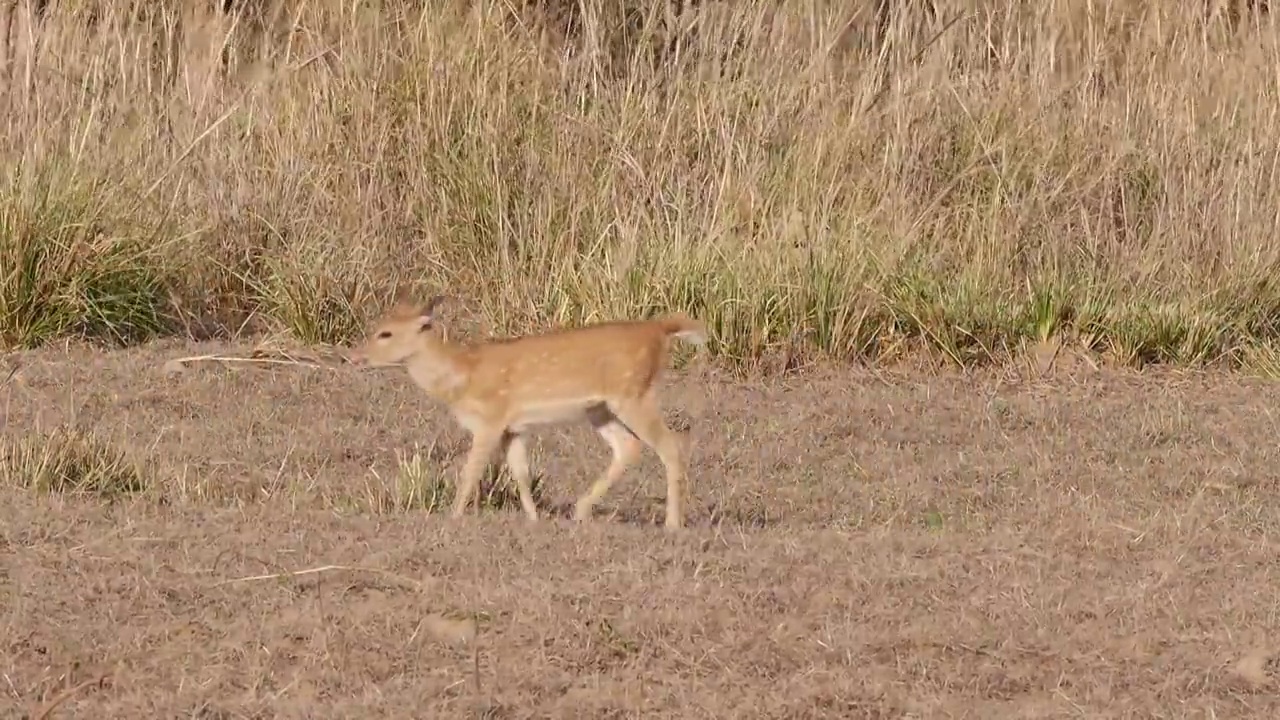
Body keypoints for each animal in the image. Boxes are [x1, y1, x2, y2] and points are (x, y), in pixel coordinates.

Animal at [348, 294, 711, 530]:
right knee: (628, 447)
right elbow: (521, 473)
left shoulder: (490, 420)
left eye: (385, 333)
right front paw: (533, 519)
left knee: (670, 445)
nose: (353, 356)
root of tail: (660, 329)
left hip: (634, 394)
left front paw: (452, 517)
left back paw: (672, 524)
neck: (462, 374)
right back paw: (580, 511)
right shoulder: (514, 428)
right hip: (600, 408)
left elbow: (470, 472)